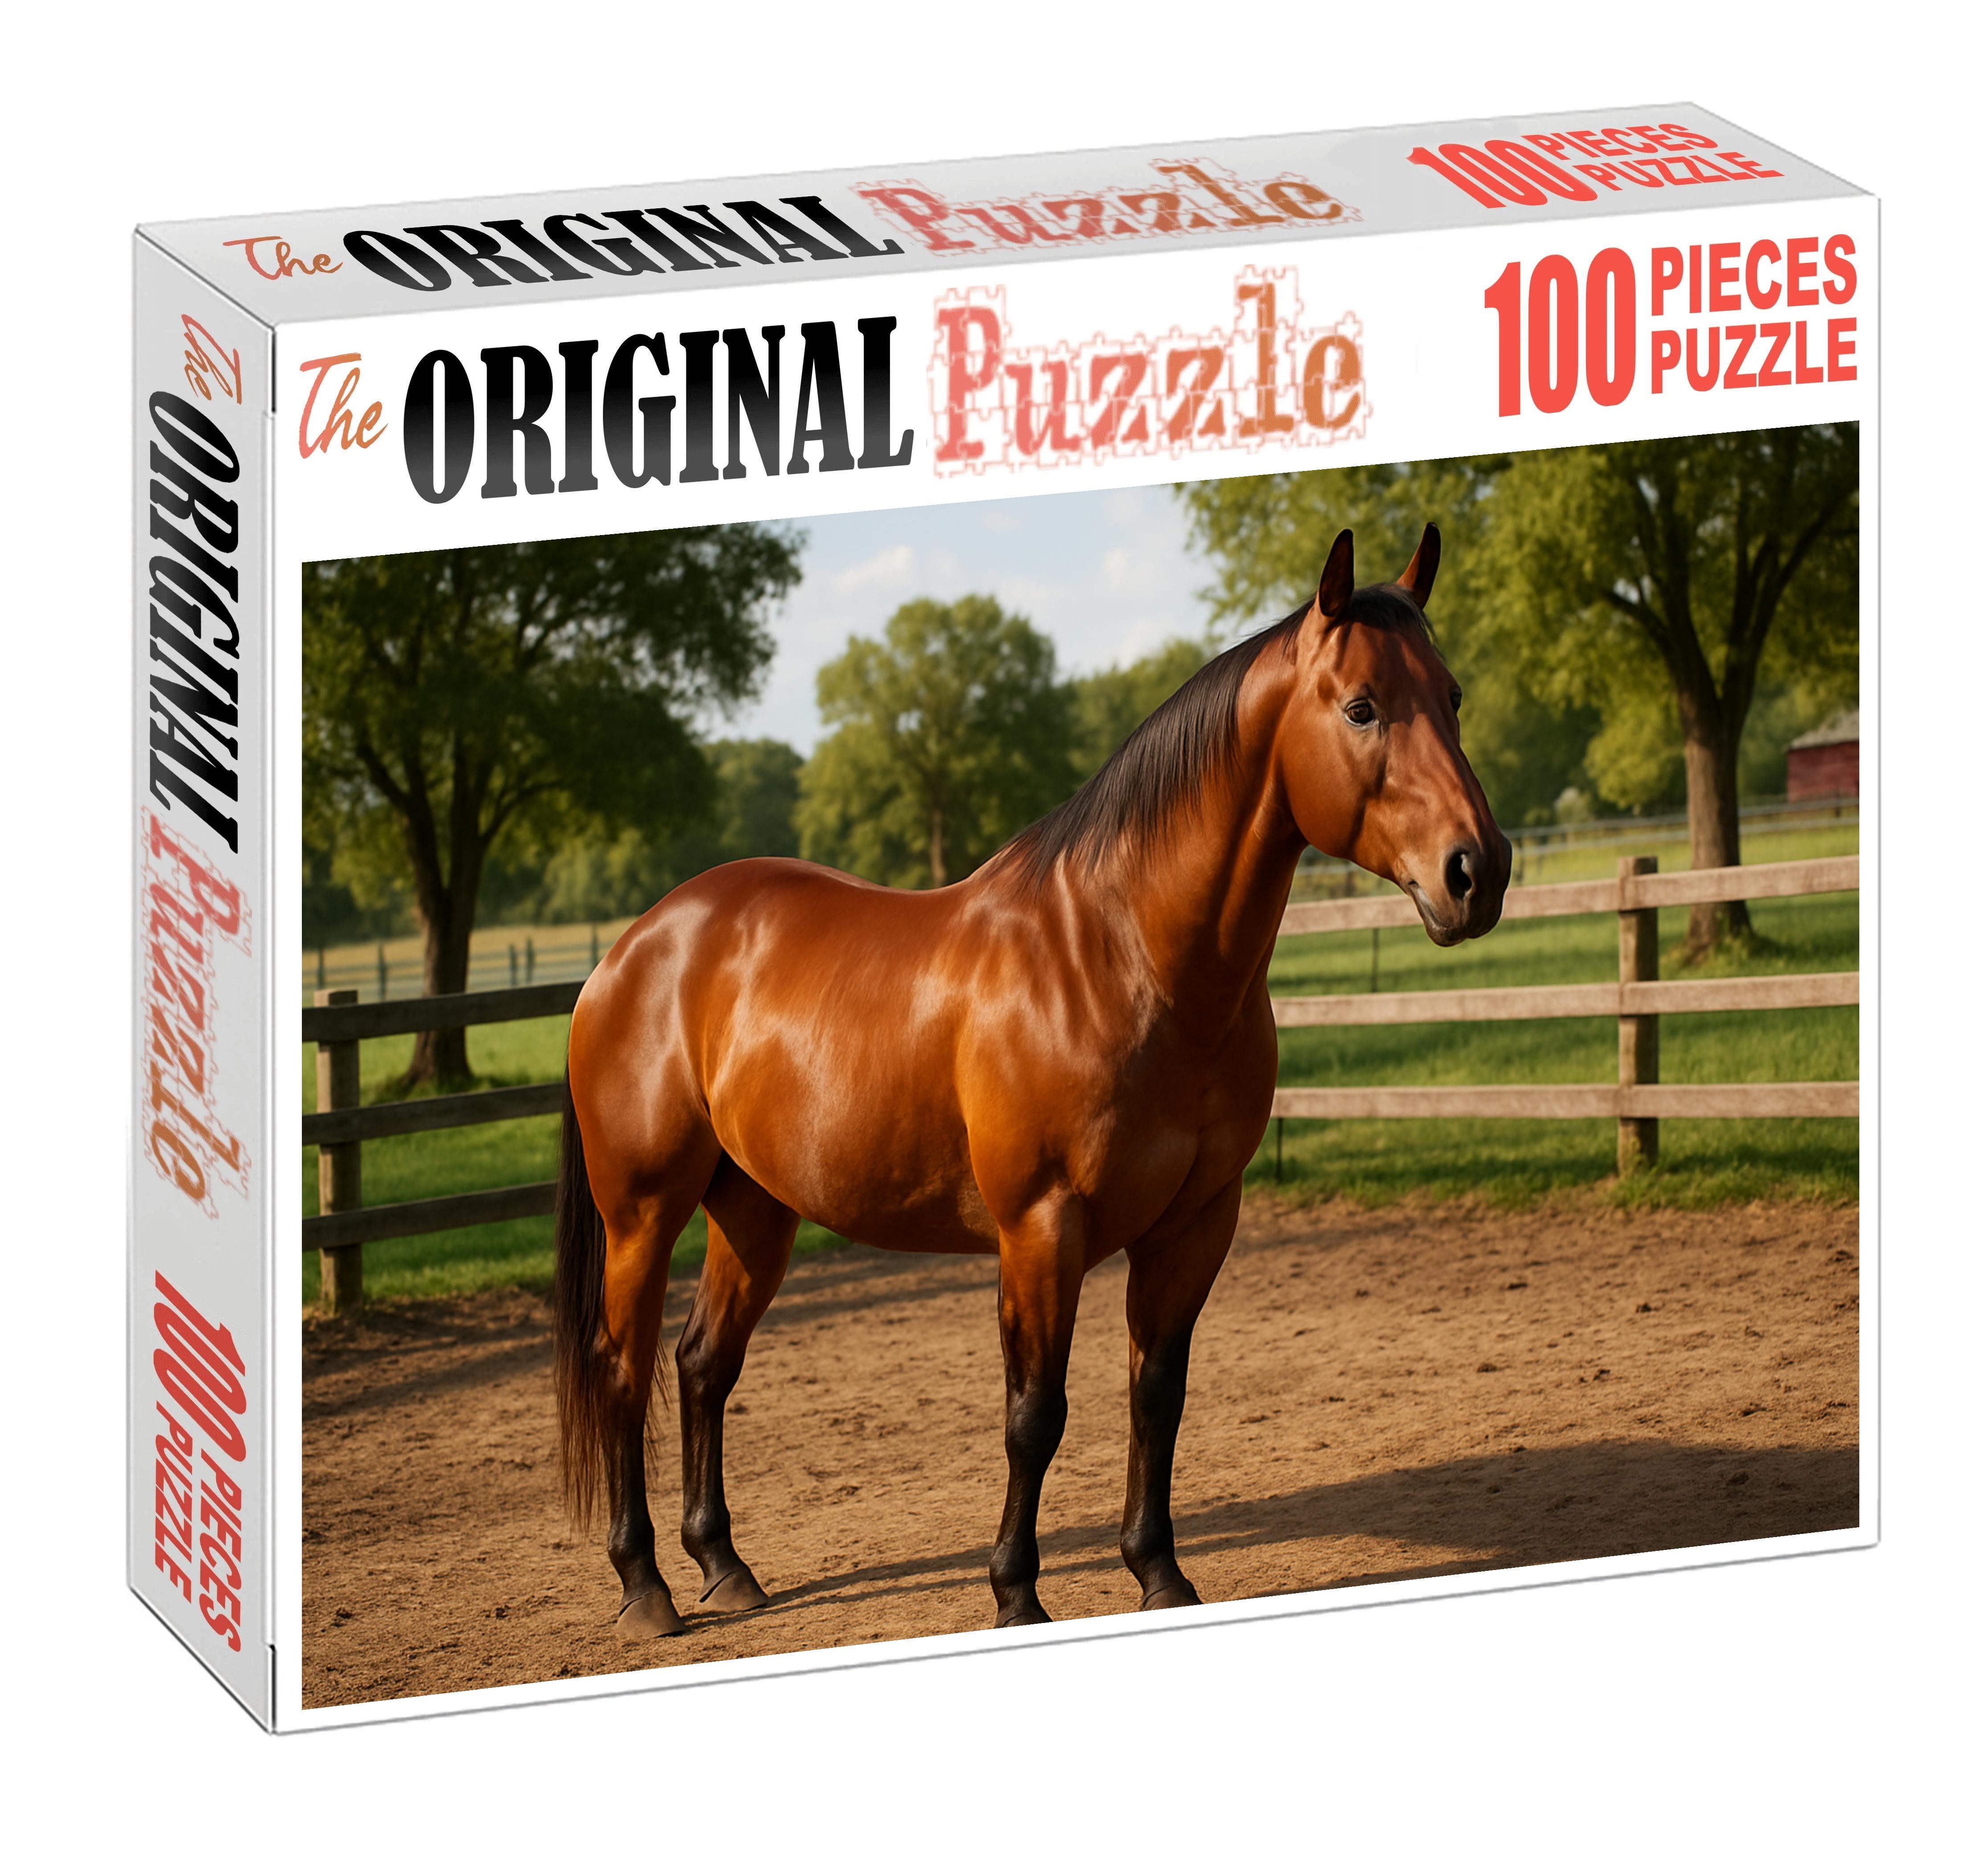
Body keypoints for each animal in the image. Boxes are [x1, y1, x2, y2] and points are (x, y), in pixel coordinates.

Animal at [553, 524, 1510, 1639]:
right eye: (1361, 705)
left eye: (1452, 695)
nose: (1477, 872)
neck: (1124, 958)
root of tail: (633, 950)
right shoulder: (1041, 1231)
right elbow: (1034, 1415)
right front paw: (1016, 1592)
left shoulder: (1195, 1225)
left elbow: (1157, 1394)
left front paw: (1160, 1572)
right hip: (643, 1214)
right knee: (624, 1372)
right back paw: (646, 1587)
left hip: (754, 1207)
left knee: (703, 1363)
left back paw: (724, 1566)